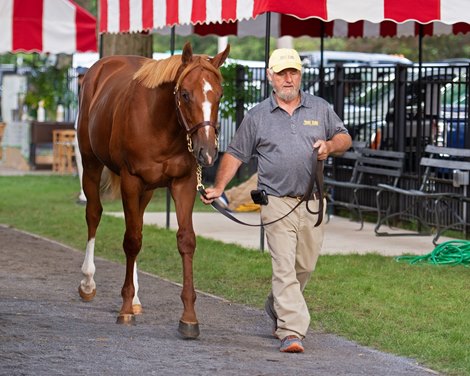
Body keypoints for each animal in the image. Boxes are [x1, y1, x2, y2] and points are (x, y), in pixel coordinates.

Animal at [76, 43, 229, 338]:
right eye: (185, 94)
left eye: (219, 94)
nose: (207, 151)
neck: (160, 123)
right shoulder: (131, 180)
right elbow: (132, 240)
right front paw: (124, 309)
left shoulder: (183, 184)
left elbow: (185, 240)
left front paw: (189, 318)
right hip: (91, 164)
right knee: (94, 214)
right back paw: (88, 282)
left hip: (146, 190)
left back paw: (136, 299)